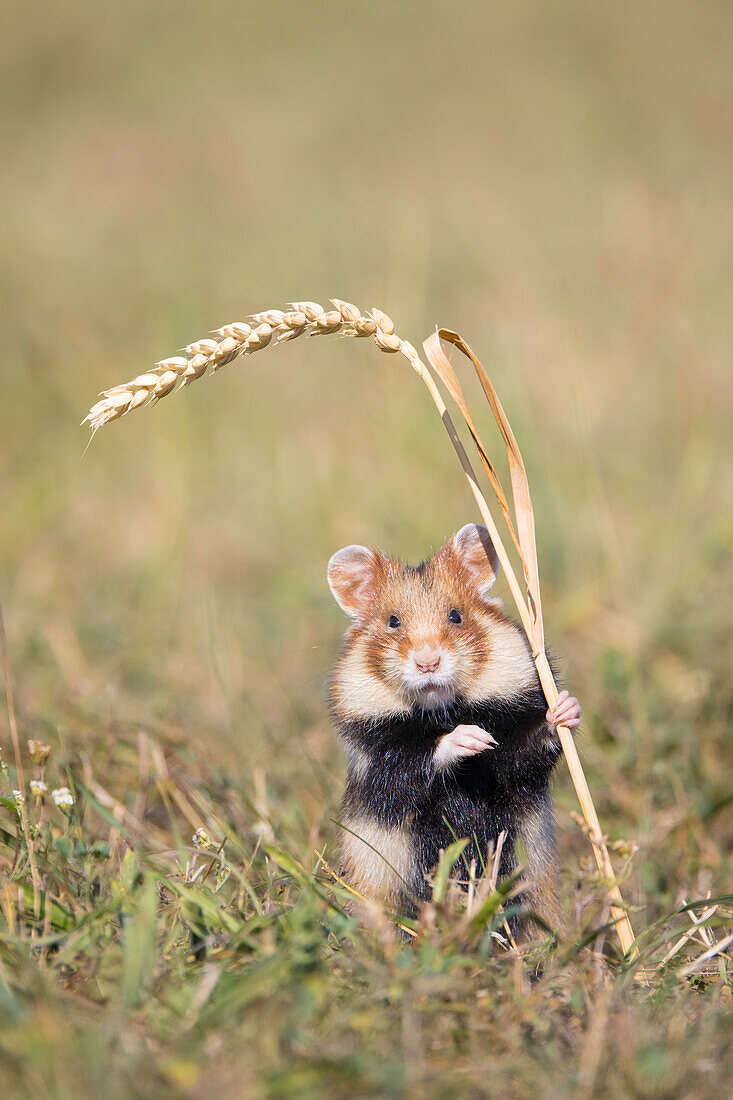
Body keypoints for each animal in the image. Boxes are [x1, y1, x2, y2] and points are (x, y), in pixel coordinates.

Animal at [327, 521, 581, 928]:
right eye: (393, 622)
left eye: (456, 616)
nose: (428, 662)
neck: (443, 711)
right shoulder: (379, 764)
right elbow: (413, 763)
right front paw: (470, 738)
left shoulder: (512, 765)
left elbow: (523, 753)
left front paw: (565, 709)